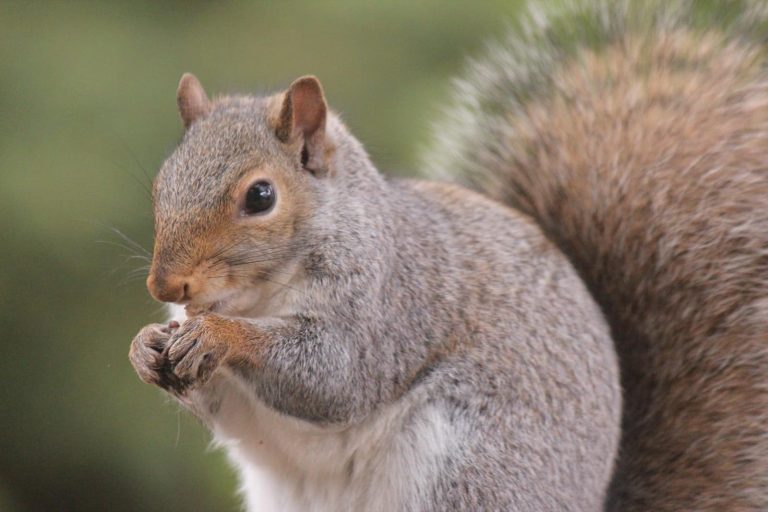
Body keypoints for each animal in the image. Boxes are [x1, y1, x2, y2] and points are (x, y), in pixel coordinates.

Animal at [129, 1, 768, 511]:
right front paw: (145, 347)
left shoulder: (389, 304)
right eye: (161, 182)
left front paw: (221, 336)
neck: (256, 295)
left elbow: (334, 376)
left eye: (260, 196)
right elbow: (228, 409)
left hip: (472, 469)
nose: (165, 287)